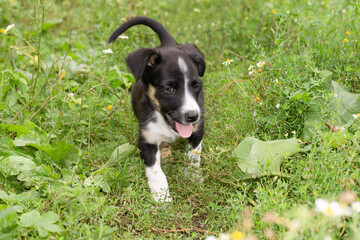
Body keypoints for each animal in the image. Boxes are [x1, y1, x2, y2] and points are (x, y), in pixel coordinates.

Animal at [107, 15, 205, 202]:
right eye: (169, 89)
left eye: (196, 86)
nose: (192, 116)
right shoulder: (147, 139)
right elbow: (155, 170)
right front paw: (162, 196)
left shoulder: (197, 130)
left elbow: (193, 154)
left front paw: (192, 176)